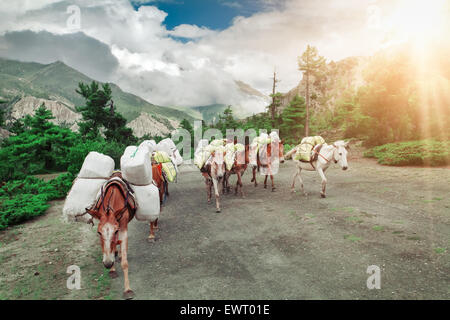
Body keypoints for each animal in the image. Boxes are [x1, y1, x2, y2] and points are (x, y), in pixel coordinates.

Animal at [85, 172, 136, 300]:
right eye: (98, 232)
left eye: (116, 231)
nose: (107, 264)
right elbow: (108, 249)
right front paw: (112, 269)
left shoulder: (122, 227)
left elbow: (125, 262)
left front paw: (128, 290)